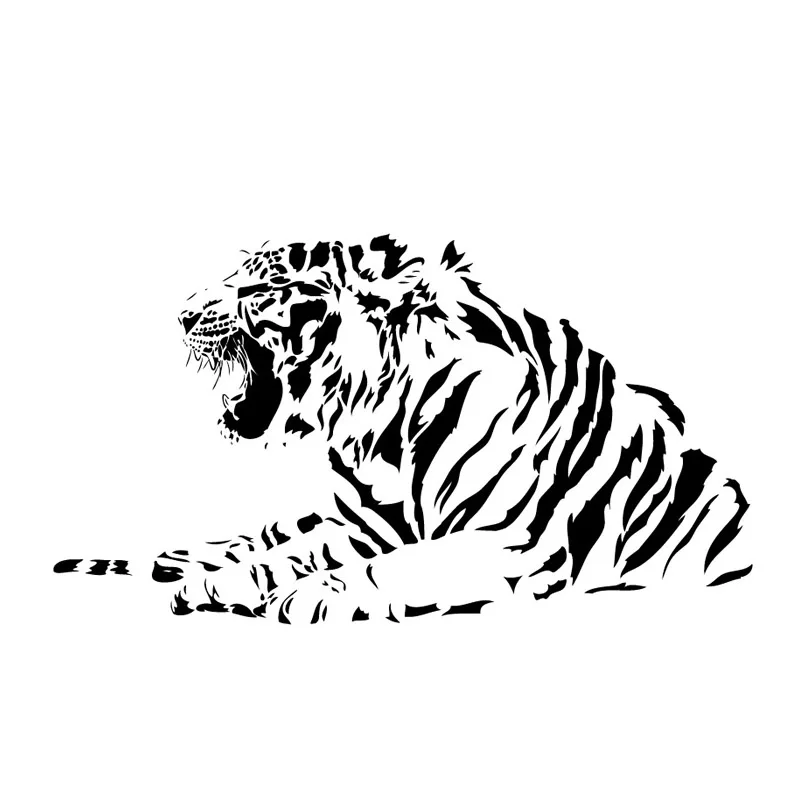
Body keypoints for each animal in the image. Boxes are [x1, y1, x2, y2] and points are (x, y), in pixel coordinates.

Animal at [54, 235, 751, 622]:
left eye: (266, 285)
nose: (180, 316)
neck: (378, 425)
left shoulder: (511, 543)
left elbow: (390, 568)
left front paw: (304, 598)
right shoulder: (368, 526)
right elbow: (282, 555)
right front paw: (215, 586)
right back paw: (178, 561)